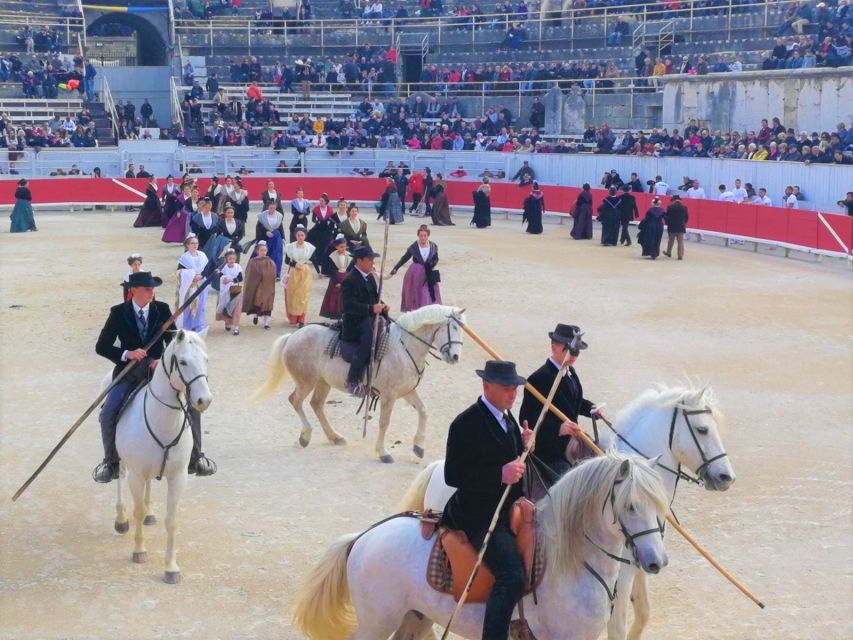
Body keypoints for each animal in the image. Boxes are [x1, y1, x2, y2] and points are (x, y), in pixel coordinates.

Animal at [108, 330, 211, 584]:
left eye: (206, 359)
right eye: (182, 362)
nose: (204, 400)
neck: (163, 421)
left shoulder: (178, 477)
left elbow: (172, 521)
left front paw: (171, 568)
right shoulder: (136, 473)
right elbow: (136, 511)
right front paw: (139, 551)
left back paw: (150, 512)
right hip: (122, 462)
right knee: (119, 479)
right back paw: (121, 519)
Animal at [251, 306, 466, 462]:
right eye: (453, 328)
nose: (455, 357)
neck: (404, 346)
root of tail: (292, 337)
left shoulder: (406, 391)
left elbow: (423, 411)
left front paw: (419, 446)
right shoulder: (389, 395)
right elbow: (384, 422)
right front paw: (383, 452)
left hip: (323, 382)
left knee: (316, 404)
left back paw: (335, 437)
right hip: (306, 381)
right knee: (296, 401)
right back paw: (305, 436)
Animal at [292, 452, 672, 636]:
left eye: (660, 504)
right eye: (631, 506)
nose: (656, 561)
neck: (572, 562)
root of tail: (363, 537)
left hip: (415, 617)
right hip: (377, 623)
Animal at [402, 382, 736, 636]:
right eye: (703, 429)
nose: (726, 477)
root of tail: (436, 469)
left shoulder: (639, 563)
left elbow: (642, 612)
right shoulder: (624, 572)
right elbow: (619, 624)